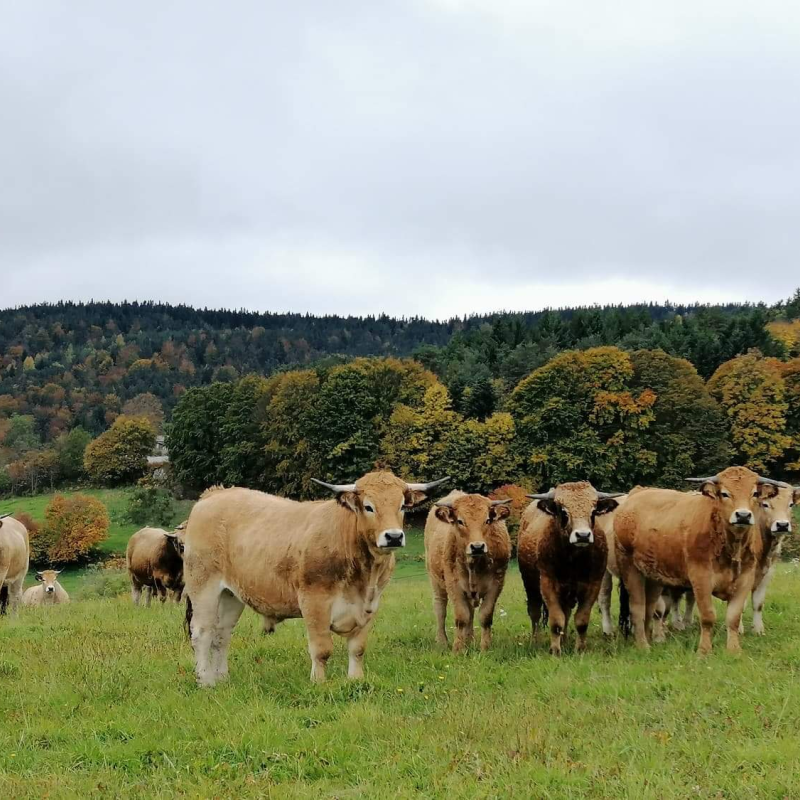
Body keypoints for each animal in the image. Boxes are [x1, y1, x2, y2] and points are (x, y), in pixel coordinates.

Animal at [183, 472, 450, 684]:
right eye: (368, 506)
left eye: (402, 506)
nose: (393, 536)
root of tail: (215, 494)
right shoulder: (314, 602)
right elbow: (322, 650)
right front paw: (319, 682)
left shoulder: (370, 605)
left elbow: (358, 648)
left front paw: (355, 679)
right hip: (203, 586)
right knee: (202, 632)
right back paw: (205, 680)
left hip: (231, 595)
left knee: (221, 635)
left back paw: (222, 678)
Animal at [424, 490, 512, 652]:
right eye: (460, 521)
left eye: (487, 520)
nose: (477, 547)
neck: (475, 565)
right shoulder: (454, 585)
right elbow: (461, 617)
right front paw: (458, 649)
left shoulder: (496, 584)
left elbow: (485, 616)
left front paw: (485, 648)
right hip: (436, 581)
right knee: (440, 609)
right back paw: (442, 641)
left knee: (470, 612)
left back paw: (469, 639)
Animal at [516, 482, 620, 656]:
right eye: (563, 511)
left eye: (593, 511)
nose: (583, 535)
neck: (574, 561)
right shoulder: (547, 585)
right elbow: (556, 620)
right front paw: (555, 650)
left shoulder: (593, 585)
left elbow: (581, 620)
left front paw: (580, 649)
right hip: (530, 584)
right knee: (535, 613)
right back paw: (536, 641)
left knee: (566, 612)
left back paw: (564, 641)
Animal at [612, 466, 780, 652]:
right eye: (724, 493)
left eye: (755, 493)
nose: (743, 515)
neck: (730, 548)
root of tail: (637, 494)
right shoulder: (701, 579)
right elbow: (707, 616)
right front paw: (704, 650)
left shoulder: (745, 579)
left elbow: (734, 618)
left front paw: (734, 651)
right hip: (630, 569)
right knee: (638, 608)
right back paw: (643, 646)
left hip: (653, 576)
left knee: (649, 608)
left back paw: (649, 639)